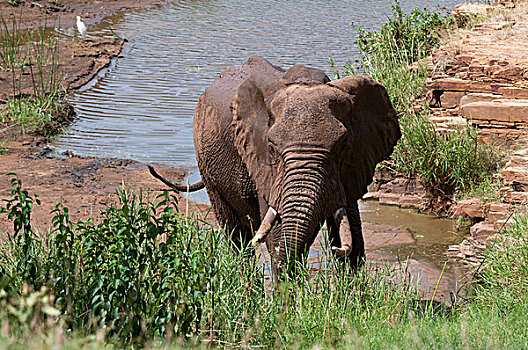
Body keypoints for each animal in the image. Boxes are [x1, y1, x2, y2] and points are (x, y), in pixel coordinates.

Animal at [148, 56, 400, 278]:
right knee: (236, 235)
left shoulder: (352, 165)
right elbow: (278, 236)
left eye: (343, 145)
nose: (337, 251)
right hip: (206, 161)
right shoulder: (263, 167)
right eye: (271, 147)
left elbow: (352, 232)